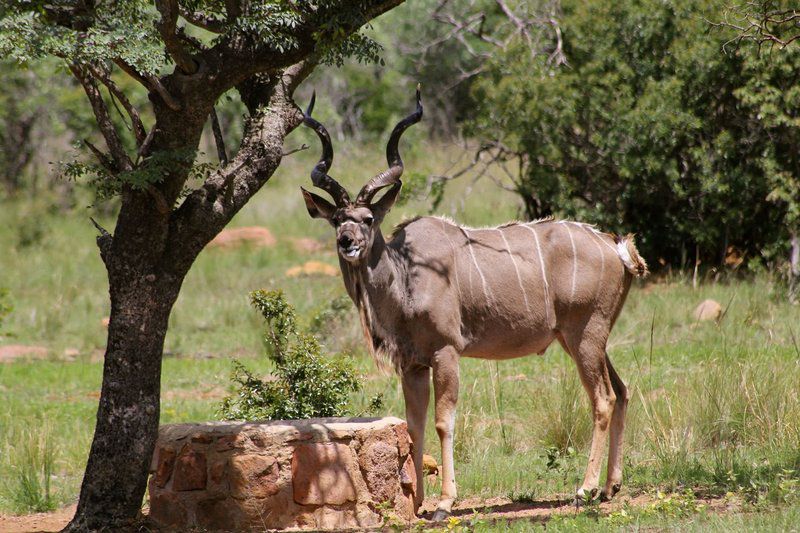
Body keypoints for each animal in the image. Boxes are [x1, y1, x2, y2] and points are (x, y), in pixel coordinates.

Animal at [302, 88, 648, 520]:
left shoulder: (446, 351)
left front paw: (444, 502)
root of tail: (616, 247)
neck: (405, 276)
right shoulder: (413, 364)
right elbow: (414, 424)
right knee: (622, 390)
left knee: (602, 399)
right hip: (587, 340)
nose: (346, 242)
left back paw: (584, 490)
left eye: (368, 218)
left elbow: (443, 421)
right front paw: (417, 502)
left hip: (585, 335)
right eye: (336, 220)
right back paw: (611, 486)